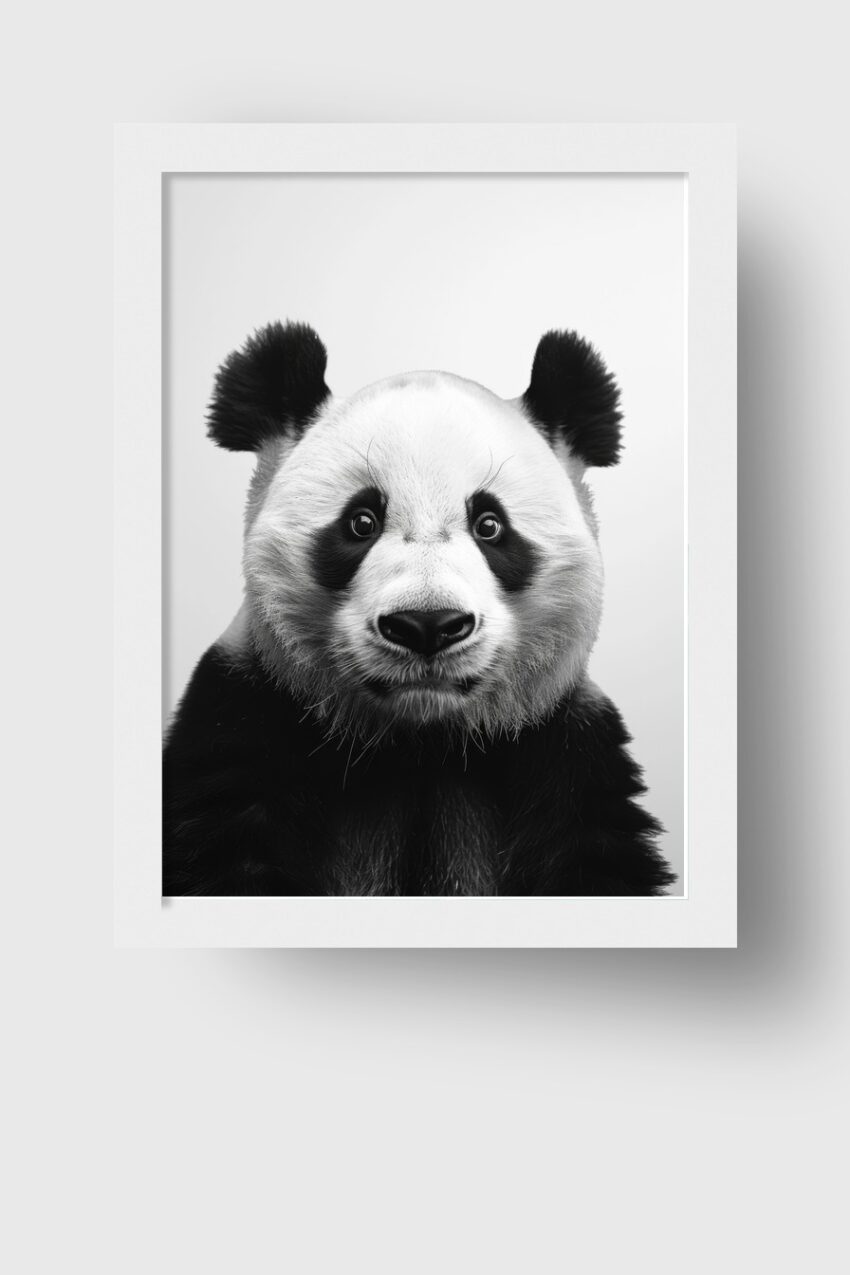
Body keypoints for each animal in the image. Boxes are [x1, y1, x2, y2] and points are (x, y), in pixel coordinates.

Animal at [163, 321, 675, 897]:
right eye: (361, 521)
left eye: (490, 525)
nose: (427, 625)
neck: (420, 747)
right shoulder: (244, 718)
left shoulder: (565, 751)